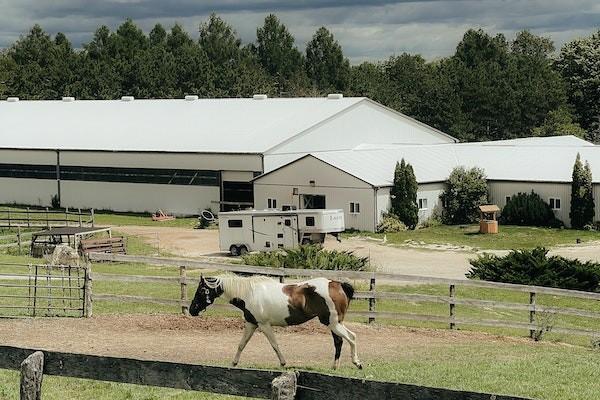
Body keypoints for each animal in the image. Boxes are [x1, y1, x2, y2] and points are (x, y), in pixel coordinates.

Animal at [190, 274, 364, 370]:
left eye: (201, 290)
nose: (192, 310)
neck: (249, 293)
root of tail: (338, 284)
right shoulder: (251, 324)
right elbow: (241, 344)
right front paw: (234, 363)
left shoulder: (264, 325)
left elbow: (274, 344)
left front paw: (283, 363)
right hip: (334, 324)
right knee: (340, 341)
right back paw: (335, 367)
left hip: (333, 323)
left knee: (352, 337)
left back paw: (357, 363)